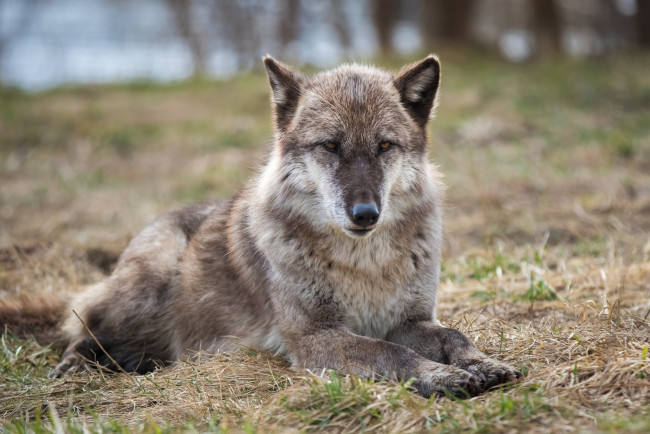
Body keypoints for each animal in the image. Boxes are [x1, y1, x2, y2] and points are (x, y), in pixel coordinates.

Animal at [0, 56, 520, 398]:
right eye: (330, 146)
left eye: (385, 146)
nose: (365, 214)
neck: (364, 263)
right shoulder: (315, 339)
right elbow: (393, 355)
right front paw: (445, 377)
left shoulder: (410, 321)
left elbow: (454, 336)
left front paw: (481, 363)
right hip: (147, 284)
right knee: (83, 323)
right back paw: (76, 366)